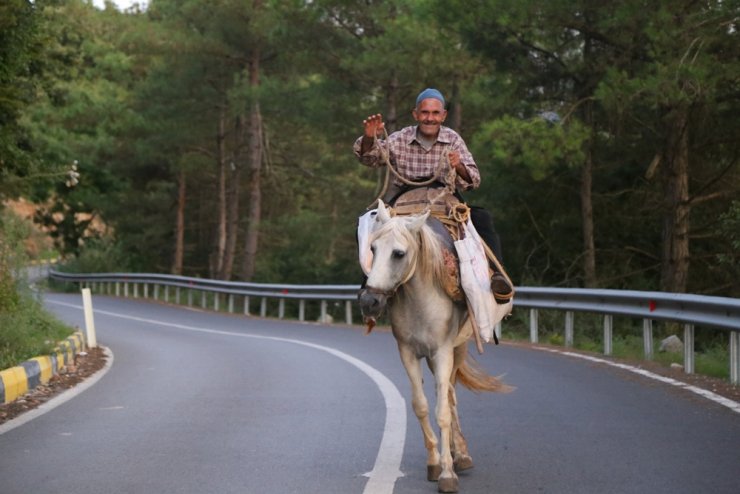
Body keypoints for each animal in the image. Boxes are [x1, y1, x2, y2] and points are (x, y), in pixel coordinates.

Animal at [356, 201, 508, 494]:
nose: (369, 302)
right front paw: (434, 463)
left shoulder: (442, 351)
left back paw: (461, 455)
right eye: (373, 249)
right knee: (445, 394)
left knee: (450, 395)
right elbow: (421, 406)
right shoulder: (408, 353)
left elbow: (443, 411)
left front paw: (448, 473)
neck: (421, 300)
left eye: (399, 253)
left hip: (457, 350)